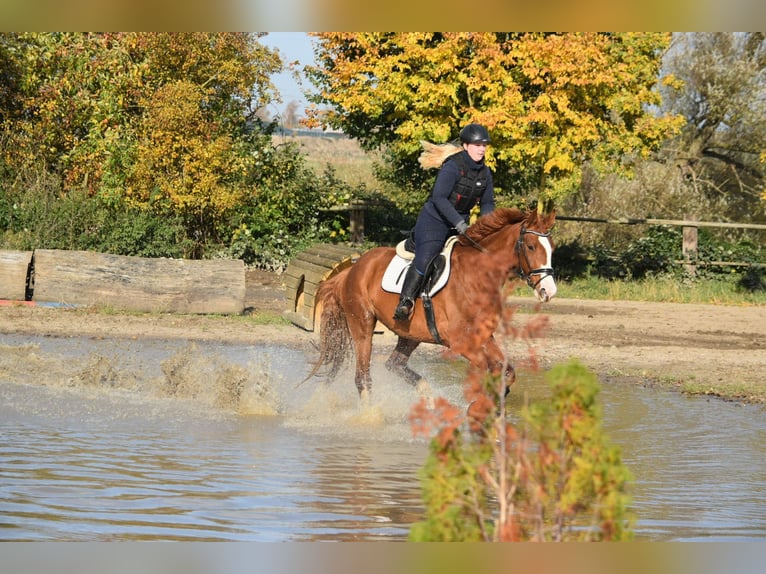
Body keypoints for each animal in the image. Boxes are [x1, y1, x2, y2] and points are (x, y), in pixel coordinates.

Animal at [308, 208, 560, 404]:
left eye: (552, 248)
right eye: (530, 246)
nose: (548, 291)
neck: (478, 275)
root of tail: (353, 268)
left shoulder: (483, 336)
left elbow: (505, 370)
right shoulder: (460, 340)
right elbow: (484, 368)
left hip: (410, 333)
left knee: (394, 364)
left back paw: (427, 397)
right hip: (362, 324)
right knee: (363, 376)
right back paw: (371, 416)